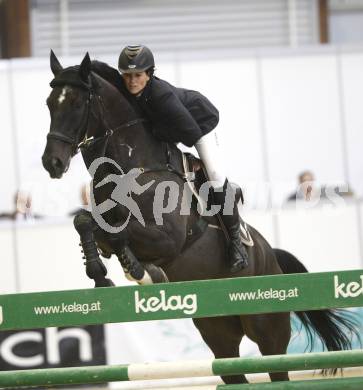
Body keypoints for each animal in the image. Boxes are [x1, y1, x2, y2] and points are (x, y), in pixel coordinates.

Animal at [41, 51, 356, 384]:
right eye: (49, 104)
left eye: (76, 104)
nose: (52, 163)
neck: (130, 165)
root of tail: (272, 256)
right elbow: (86, 223)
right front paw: (101, 273)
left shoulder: (168, 238)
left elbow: (119, 233)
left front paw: (140, 271)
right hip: (218, 335)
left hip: (268, 331)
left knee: (277, 368)